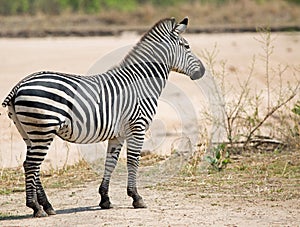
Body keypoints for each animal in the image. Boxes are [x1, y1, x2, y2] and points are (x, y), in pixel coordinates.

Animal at [1, 16, 204, 217]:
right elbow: (133, 161)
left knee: (32, 166)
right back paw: (36, 207)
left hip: (29, 133)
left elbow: (110, 163)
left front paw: (105, 199)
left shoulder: (118, 134)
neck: (141, 83)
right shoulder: (137, 127)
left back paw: (47, 206)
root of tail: (19, 85)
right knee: (31, 165)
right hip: (42, 129)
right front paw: (136, 197)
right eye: (187, 46)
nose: (202, 71)